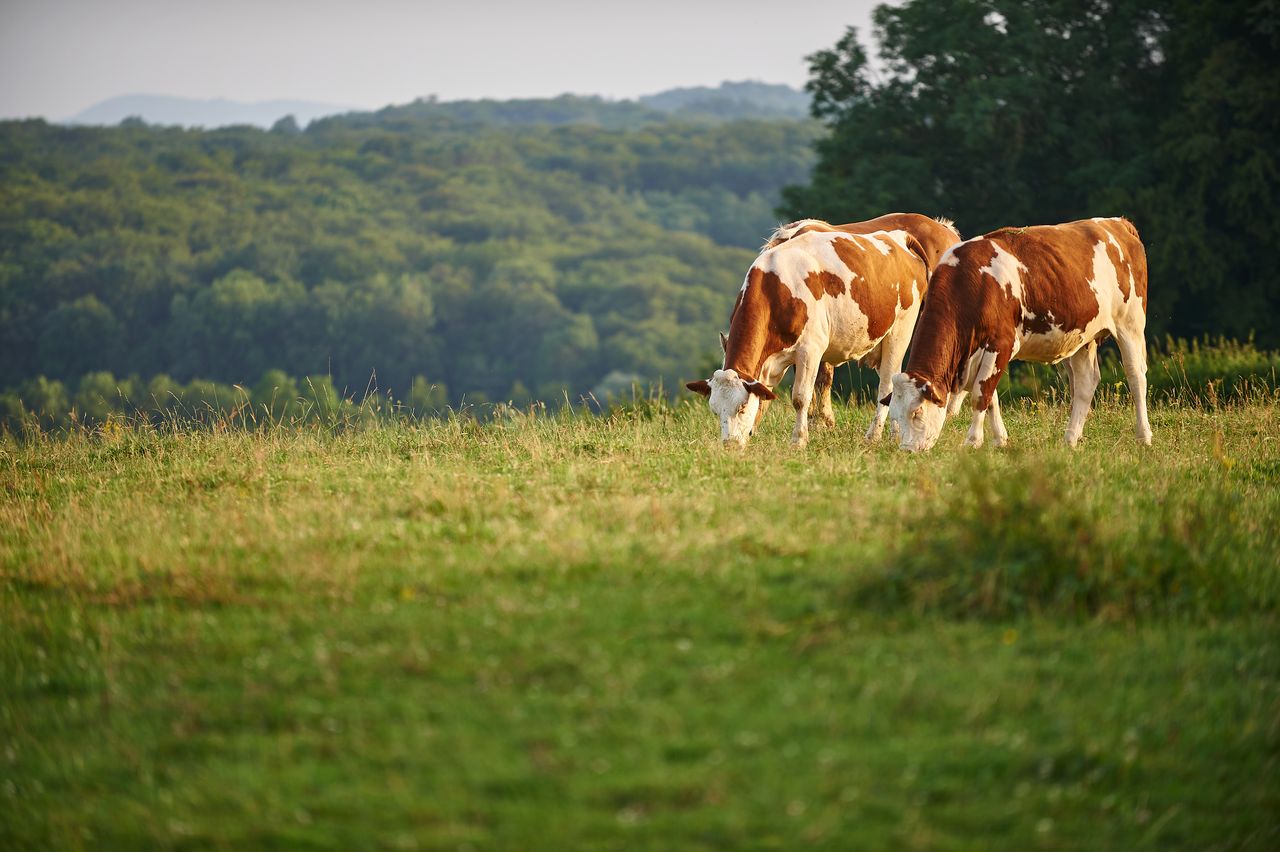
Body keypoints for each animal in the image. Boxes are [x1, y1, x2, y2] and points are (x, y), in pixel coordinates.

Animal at [685, 223, 939, 448]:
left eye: (741, 408)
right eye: (715, 411)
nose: (729, 445)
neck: (775, 289)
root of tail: (897, 237)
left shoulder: (810, 350)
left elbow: (800, 398)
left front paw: (798, 440)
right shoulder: (769, 364)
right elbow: (765, 394)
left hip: (899, 333)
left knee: (886, 385)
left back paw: (876, 436)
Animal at [885, 217, 1151, 452]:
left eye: (916, 413)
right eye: (895, 417)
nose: (906, 451)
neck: (970, 285)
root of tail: (1116, 223)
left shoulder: (1000, 344)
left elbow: (981, 395)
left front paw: (972, 441)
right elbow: (991, 398)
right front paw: (999, 440)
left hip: (1130, 323)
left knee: (1136, 376)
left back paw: (1143, 436)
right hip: (1083, 335)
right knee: (1086, 382)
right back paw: (1070, 438)